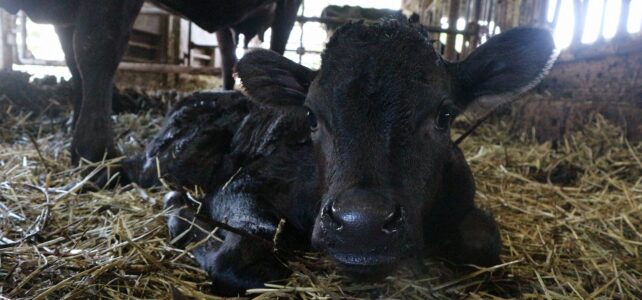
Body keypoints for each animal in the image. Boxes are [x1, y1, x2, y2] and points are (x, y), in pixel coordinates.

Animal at [0, 0, 300, 182]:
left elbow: (96, 49)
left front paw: (96, 156)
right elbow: (73, 64)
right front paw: (75, 125)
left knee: (279, 42)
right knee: (229, 56)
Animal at [129, 19, 556, 296]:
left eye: (444, 115)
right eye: (311, 116)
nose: (360, 224)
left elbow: (483, 240)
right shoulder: (244, 183)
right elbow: (246, 251)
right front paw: (182, 215)